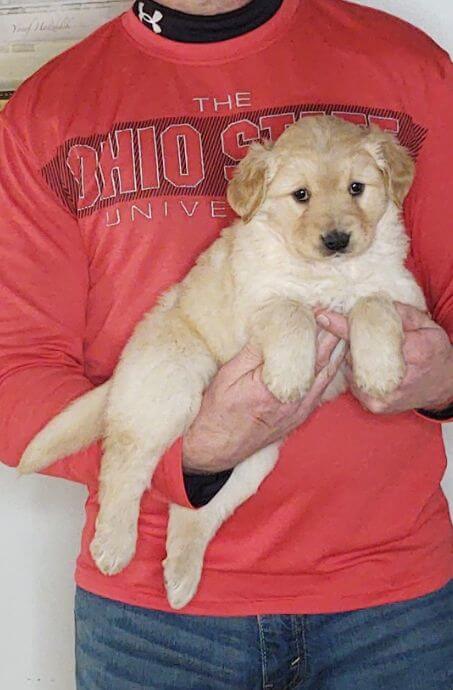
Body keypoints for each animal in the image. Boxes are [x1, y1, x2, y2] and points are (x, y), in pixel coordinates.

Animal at [18, 115, 424, 604]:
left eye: (357, 188)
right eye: (301, 195)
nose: (336, 240)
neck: (329, 273)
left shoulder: (408, 298)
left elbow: (373, 303)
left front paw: (380, 371)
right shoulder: (254, 301)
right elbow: (291, 310)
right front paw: (290, 374)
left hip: (251, 460)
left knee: (194, 510)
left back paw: (179, 579)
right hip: (169, 387)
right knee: (122, 466)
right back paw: (113, 547)